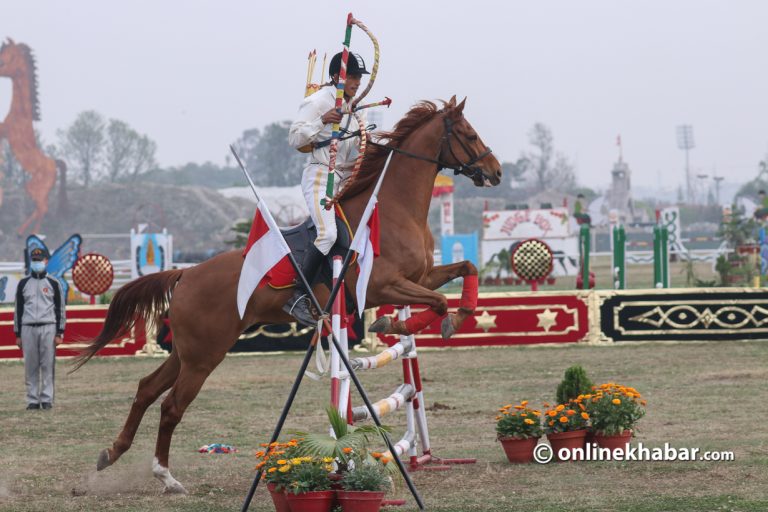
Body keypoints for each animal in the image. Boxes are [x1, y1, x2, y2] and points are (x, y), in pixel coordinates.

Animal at [72, 96, 500, 492]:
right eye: (469, 134)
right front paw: (402, 322)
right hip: (204, 356)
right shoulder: (383, 284)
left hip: (186, 351)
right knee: (171, 406)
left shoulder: (423, 275)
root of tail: (187, 273)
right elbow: (439, 301)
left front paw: (446, 318)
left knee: (146, 389)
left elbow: (467, 269)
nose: (495, 171)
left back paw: (112, 453)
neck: (394, 208)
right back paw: (166, 476)